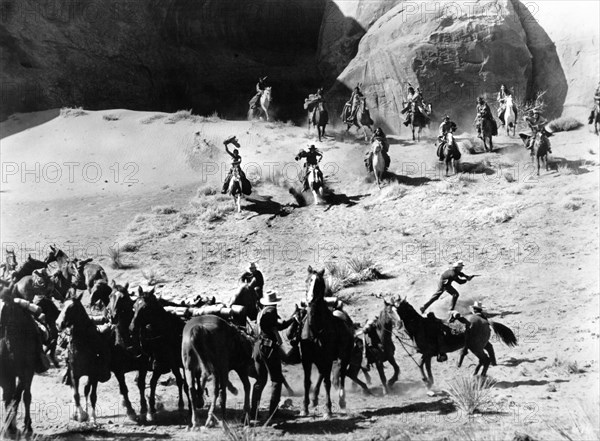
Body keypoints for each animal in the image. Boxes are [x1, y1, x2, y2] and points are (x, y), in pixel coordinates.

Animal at [0, 286, 39, 434]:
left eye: (7, 308)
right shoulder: (6, 374)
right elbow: (10, 396)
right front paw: (9, 426)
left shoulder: (28, 370)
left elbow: (22, 396)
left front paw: (27, 425)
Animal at [56, 290, 111, 422]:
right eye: (62, 306)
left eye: (72, 307)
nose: (58, 323)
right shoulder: (74, 373)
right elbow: (76, 395)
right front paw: (80, 414)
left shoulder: (94, 374)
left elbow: (92, 396)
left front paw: (92, 418)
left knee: (87, 391)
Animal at [130, 286, 186, 420]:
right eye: (134, 306)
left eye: (145, 308)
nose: (132, 327)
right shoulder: (143, 365)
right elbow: (141, 383)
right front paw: (143, 409)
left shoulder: (160, 366)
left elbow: (152, 382)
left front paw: (152, 409)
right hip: (175, 365)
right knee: (180, 380)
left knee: (182, 381)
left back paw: (183, 405)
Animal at [292, 266, 354, 418]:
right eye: (307, 280)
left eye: (319, 283)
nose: (309, 300)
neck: (316, 328)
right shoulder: (307, 358)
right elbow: (307, 382)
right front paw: (304, 408)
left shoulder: (327, 357)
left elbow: (327, 383)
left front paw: (328, 410)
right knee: (322, 374)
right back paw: (314, 399)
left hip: (344, 357)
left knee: (341, 376)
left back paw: (342, 402)